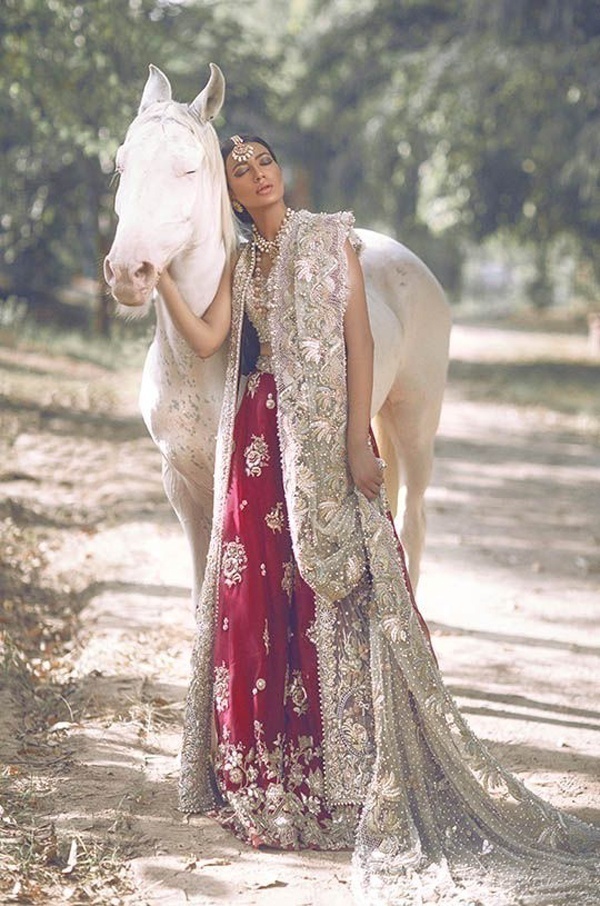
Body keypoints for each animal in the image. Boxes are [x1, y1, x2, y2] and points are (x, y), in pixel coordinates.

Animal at [104, 65, 450, 600]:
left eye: (189, 170)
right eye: (122, 166)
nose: (128, 272)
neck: (194, 363)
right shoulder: (181, 485)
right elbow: (198, 590)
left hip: (416, 423)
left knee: (412, 522)